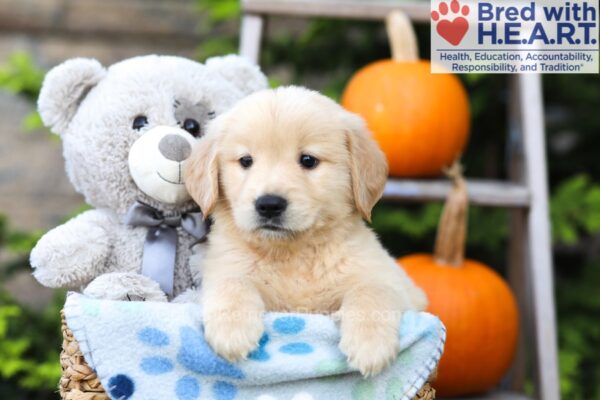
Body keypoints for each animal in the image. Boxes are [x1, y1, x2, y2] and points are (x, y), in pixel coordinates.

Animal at [185, 86, 424, 376]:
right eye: (246, 161)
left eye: (308, 160)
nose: (269, 205)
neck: (292, 254)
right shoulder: (225, 265)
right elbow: (233, 283)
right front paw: (232, 331)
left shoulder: (392, 281)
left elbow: (372, 291)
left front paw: (370, 345)